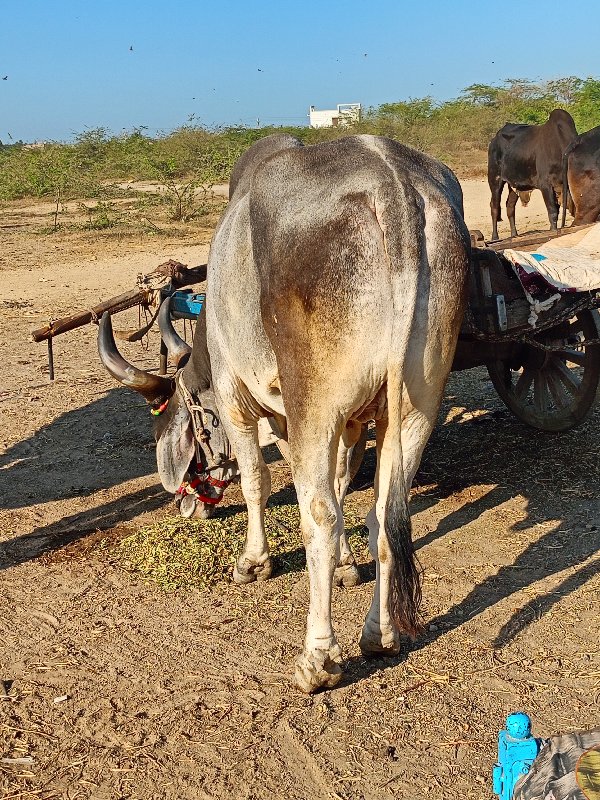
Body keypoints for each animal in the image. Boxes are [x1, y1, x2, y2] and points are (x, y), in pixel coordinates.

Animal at [490, 109, 580, 241]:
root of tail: (494, 139)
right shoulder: (545, 185)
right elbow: (552, 211)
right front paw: (553, 231)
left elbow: (557, 210)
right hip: (495, 179)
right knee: (494, 207)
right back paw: (495, 237)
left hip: (514, 185)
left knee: (510, 206)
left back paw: (514, 235)